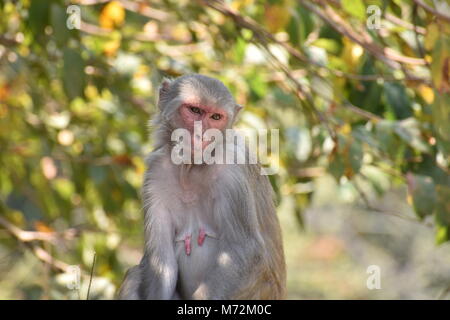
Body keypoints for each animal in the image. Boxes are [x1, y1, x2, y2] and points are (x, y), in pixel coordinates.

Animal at [118, 74, 286, 298]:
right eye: (195, 110)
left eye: (215, 117)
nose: (201, 135)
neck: (192, 167)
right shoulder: (156, 172)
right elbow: (161, 261)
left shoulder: (232, 170)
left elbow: (243, 249)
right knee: (135, 273)